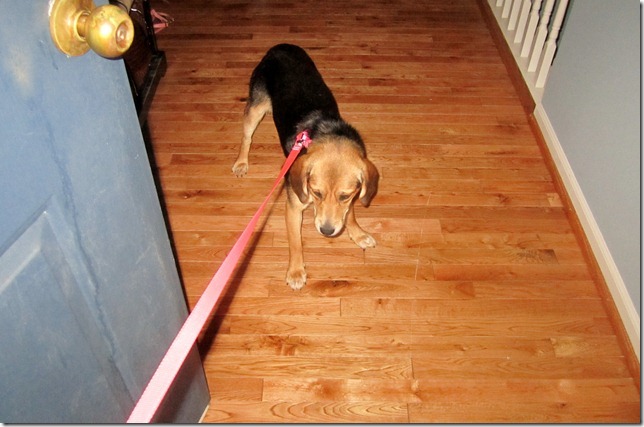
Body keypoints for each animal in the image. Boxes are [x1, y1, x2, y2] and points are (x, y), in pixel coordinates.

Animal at [232, 44, 379, 290]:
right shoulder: (293, 207)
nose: (327, 231)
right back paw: (242, 163)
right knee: (246, 138)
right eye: (315, 192)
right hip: (255, 108)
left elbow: (349, 215)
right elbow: (295, 243)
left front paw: (357, 233)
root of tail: (280, 46)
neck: (327, 132)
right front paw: (295, 271)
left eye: (344, 196)